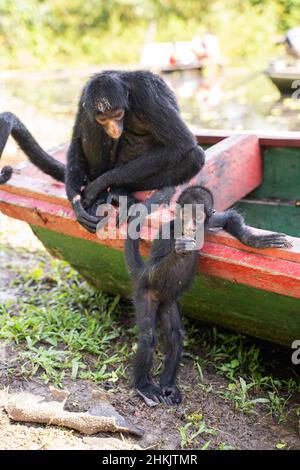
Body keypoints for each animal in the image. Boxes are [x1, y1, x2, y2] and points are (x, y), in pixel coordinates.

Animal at [0, 70, 204, 231]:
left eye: (118, 115)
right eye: (103, 119)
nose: (113, 128)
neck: (129, 96)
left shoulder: (148, 96)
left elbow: (181, 144)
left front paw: (96, 186)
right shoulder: (85, 97)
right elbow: (76, 140)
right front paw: (76, 201)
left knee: (195, 156)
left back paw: (118, 190)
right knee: (90, 126)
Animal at [125, 185, 288, 406]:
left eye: (199, 215)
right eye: (185, 214)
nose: (191, 225)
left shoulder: (208, 223)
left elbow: (227, 217)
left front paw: (255, 240)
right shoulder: (167, 232)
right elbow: (155, 269)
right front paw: (179, 250)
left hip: (168, 301)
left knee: (175, 336)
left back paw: (167, 385)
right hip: (146, 292)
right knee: (148, 336)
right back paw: (144, 386)